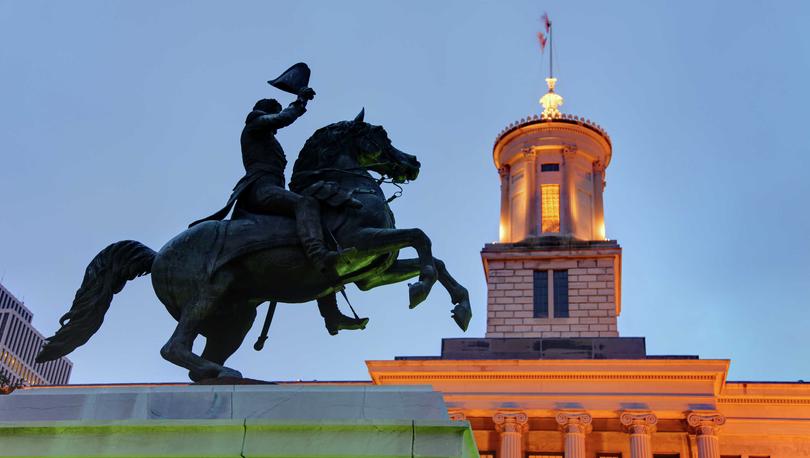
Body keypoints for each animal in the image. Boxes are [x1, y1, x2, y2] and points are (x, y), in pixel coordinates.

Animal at [36, 110, 468, 380]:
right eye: (379, 135)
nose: (413, 162)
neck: (349, 186)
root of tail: (158, 255)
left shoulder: (371, 272)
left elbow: (436, 257)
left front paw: (460, 306)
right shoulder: (360, 245)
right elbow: (422, 237)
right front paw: (421, 287)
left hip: (236, 317)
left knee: (198, 356)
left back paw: (221, 373)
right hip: (209, 293)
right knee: (173, 347)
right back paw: (222, 372)